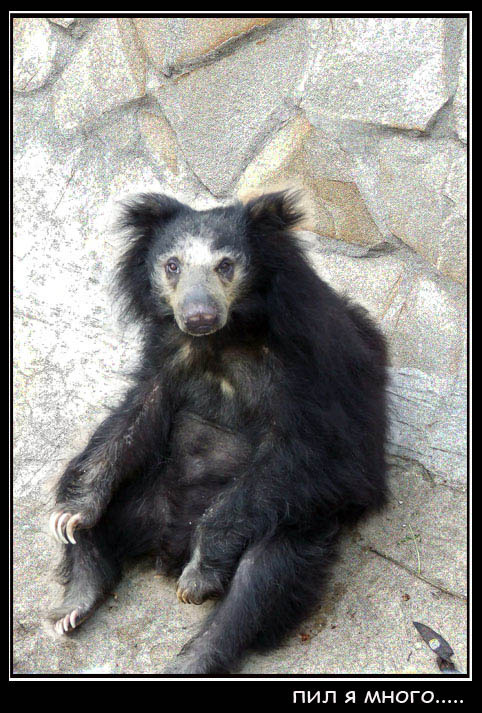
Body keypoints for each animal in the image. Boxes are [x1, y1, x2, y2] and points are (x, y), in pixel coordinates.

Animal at [48, 191, 388, 675]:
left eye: (225, 265)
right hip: (145, 494)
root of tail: (166, 546)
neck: (224, 339)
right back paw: (75, 600)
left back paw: (193, 655)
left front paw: (198, 577)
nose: (198, 316)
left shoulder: (305, 370)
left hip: (298, 521)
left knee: (261, 581)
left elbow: (308, 452)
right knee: (97, 527)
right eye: (172, 265)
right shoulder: (168, 354)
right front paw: (72, 512)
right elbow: (135, 419)